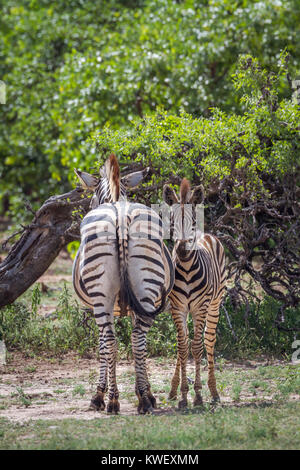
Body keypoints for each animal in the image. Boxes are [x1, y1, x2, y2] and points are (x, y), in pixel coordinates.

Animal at [73, 155, 175, 414]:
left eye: (91, 200)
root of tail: (119, 215)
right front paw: (147, 392)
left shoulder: (96, 306)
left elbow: (102, 346)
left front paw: (99, 395)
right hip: (147, 287)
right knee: (138, 339)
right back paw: (144, 400)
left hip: (101, 296)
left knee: (110, 340)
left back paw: (112, 401)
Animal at [163, 179, 226, 408]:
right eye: (172, 222)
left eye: (191, 223)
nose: (181, 251)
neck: (188, 269)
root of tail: (206, 234)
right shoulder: (178, 307)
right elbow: (182, 347)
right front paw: (182, 395)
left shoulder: (200, 308)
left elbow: (197, 347)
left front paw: (198, 395)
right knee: (184, 341)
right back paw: (173, 390)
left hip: (215, 304)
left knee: (208, 340)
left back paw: (214, 392)